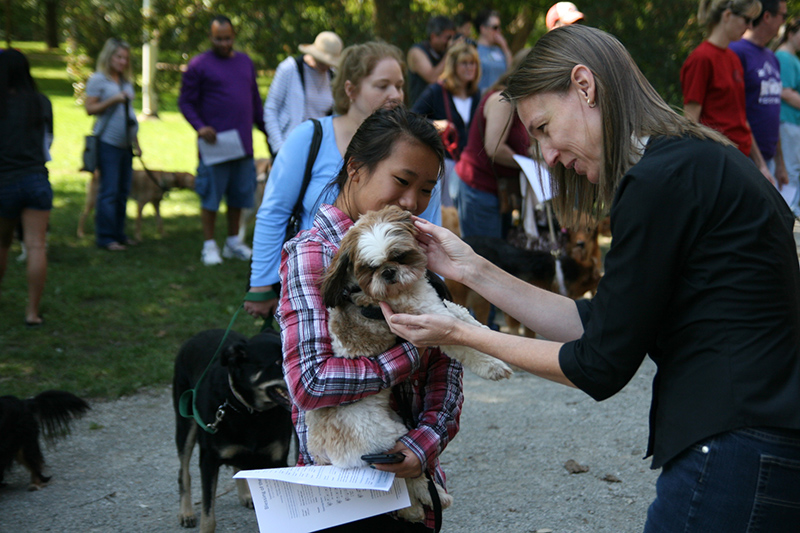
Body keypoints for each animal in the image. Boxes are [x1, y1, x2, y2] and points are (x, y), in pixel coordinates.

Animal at [172, 328, 294, 532]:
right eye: (278, 362)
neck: (250, 412)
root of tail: (197, 335)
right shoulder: (209, 461)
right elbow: (208, 514)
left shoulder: (277, 461)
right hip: (185, 425)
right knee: (184, 472)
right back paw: (186, 512)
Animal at [306, 206, 512, 520]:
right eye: (370, 268)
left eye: (399, 256)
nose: (388, 272)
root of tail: (321, 451)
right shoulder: (428, 322)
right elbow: (464, 344)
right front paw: (493, 365)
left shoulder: (437, 308)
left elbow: (463, 316)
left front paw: (488, 334)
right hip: (386, 440)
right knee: (407, 478)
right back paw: (426, 501)